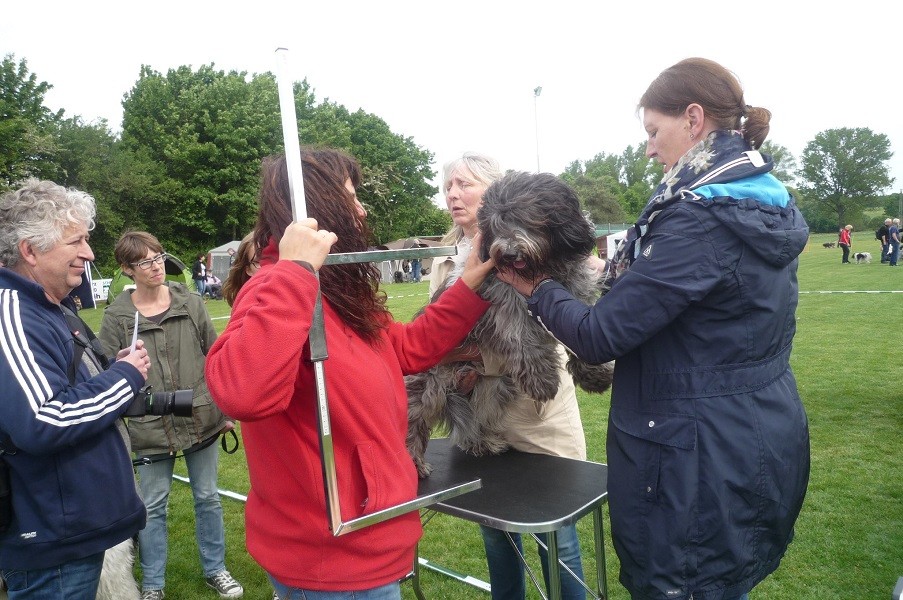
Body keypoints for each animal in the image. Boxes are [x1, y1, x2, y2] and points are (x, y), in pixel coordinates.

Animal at [408, 172, 616, 478]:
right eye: (496, 224)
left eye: (527, 217)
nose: (507, 253)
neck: (541, 268)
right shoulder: (505, 301)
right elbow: (522, 337)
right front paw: (542, 380)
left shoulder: (575, 292)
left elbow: (582, 330)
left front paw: (594, 374)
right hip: (430, 385)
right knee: (413, 419)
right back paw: (413, 462)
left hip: (491, 388)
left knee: (473, 418)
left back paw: (481, 443)